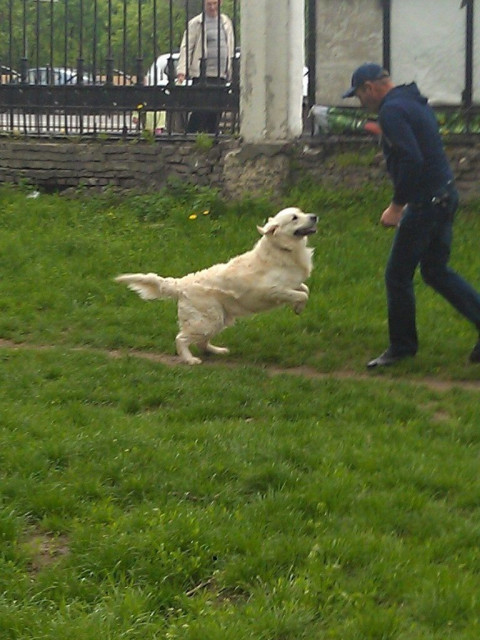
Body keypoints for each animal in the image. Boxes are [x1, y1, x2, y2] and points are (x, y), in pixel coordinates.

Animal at [116, 208, 316, 362]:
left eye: (301, 212)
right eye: (294, 218)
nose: (314, 216)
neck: (283, 250)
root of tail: (181, 284)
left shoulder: (291, 284)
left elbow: (304, 289)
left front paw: (298, 307)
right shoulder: (273, 291)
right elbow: (302, 294)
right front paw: (299, 307)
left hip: (218, 319)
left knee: (201, 342)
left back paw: (216, 351)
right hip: (206, 320)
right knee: (181, 338)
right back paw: (190, 360)